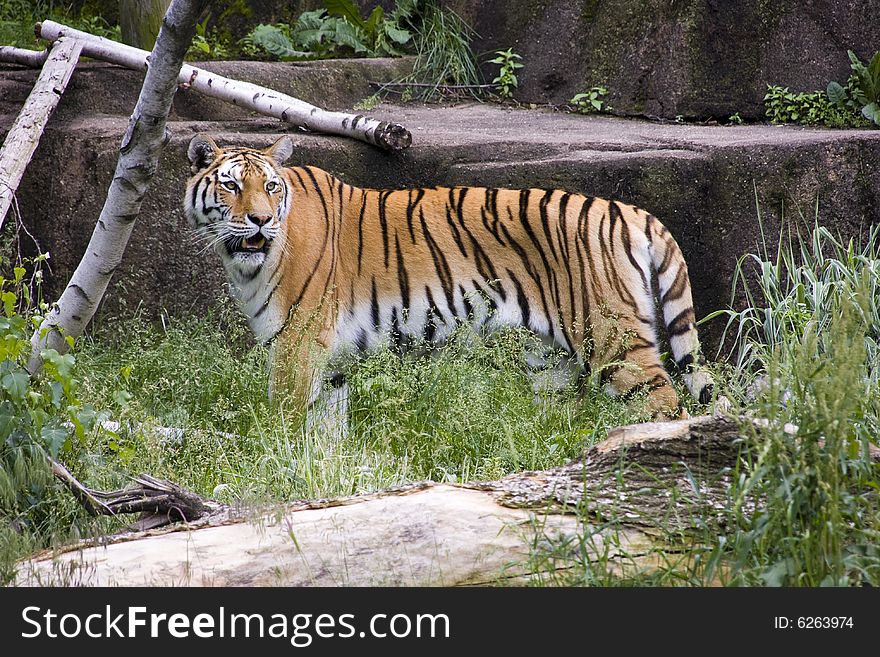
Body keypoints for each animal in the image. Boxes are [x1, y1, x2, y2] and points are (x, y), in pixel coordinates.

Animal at [182, 134, 712, 430]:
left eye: (270, 187)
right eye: (231, 186)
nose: (260, 220)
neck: (245, 262)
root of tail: (631, 211)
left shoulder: (297, 343)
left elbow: (287, 422)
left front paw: (281, 467)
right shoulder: (331, 362)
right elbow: (327, 433)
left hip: (613, 341)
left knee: (667, 407)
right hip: (552, 366)